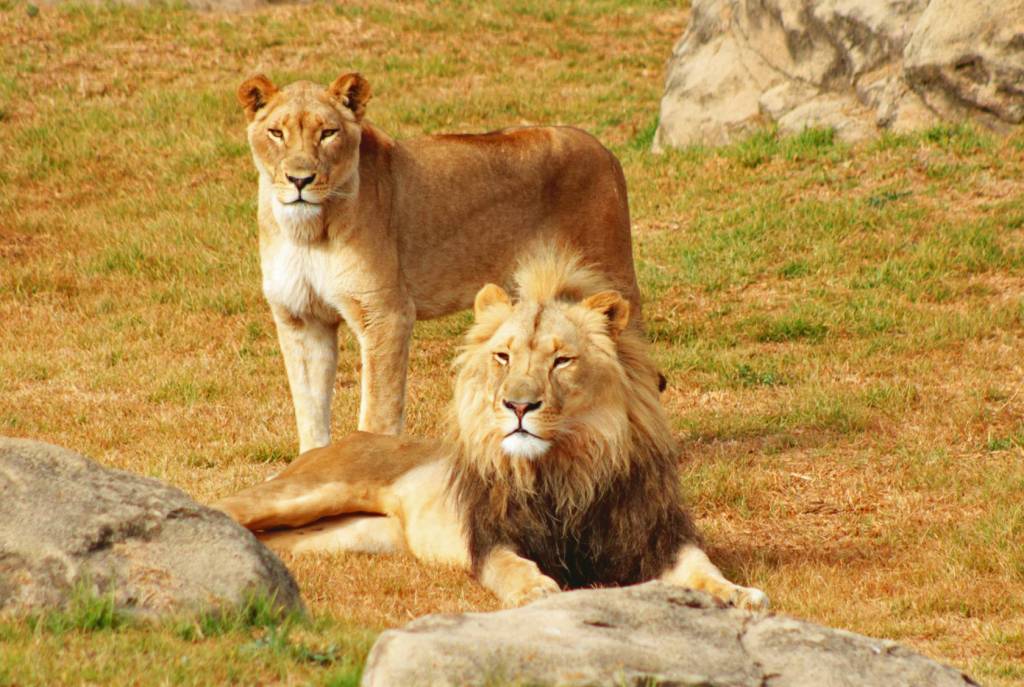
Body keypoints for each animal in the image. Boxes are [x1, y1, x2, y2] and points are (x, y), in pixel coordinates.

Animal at [216, 248, 770, 614]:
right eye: (503, 356)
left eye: (562, 360)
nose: (519, 405)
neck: (566, 465)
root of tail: (350, 438)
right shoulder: (491, 539)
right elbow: (511, 567)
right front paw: (535, 590)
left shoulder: (657, 536)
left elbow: (702, 568)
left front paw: (739, 595)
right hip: (306, 492)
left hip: (339, 537)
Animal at [237, 71, 638, 450]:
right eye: (276, 133)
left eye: (328, 133)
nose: (299, 180)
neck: (307, 231)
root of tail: (604, 150)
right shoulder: (301, 318)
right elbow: (310, 412)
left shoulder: (386, 314)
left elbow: (378, 410)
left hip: (610, 278)